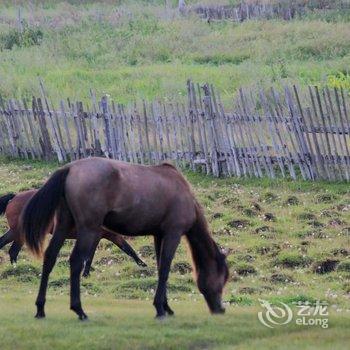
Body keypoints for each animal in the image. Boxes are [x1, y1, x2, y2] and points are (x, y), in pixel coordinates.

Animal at [21, 158, 230, 320]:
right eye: (222, 278)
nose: (220, 309)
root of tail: (70, 168)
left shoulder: (159, 235)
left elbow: (160, 267)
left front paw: (166, 307)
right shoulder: (173, 234)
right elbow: (165, 270)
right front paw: (160, 309)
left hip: (63, 225)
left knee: (50, 257)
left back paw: (40, 308)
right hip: (88, 229)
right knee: (76, 261)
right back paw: (79, 310)